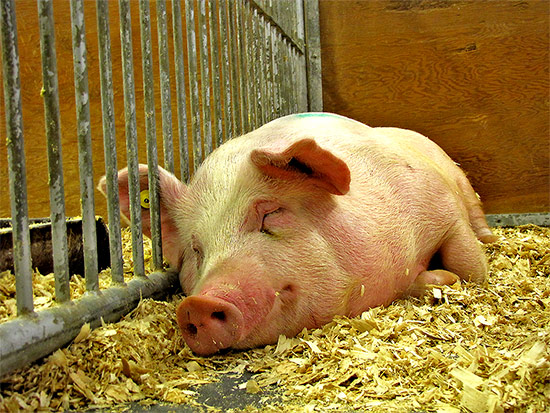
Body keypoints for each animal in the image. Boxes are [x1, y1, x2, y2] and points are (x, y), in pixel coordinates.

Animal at [100, 112, 500, 354]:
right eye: (198, 249)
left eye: (270, 214)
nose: (197, 304)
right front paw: (438, 280)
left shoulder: (443, 207)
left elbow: (470, 266)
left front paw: (452, 276)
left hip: (459, 180)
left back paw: (492, 239)